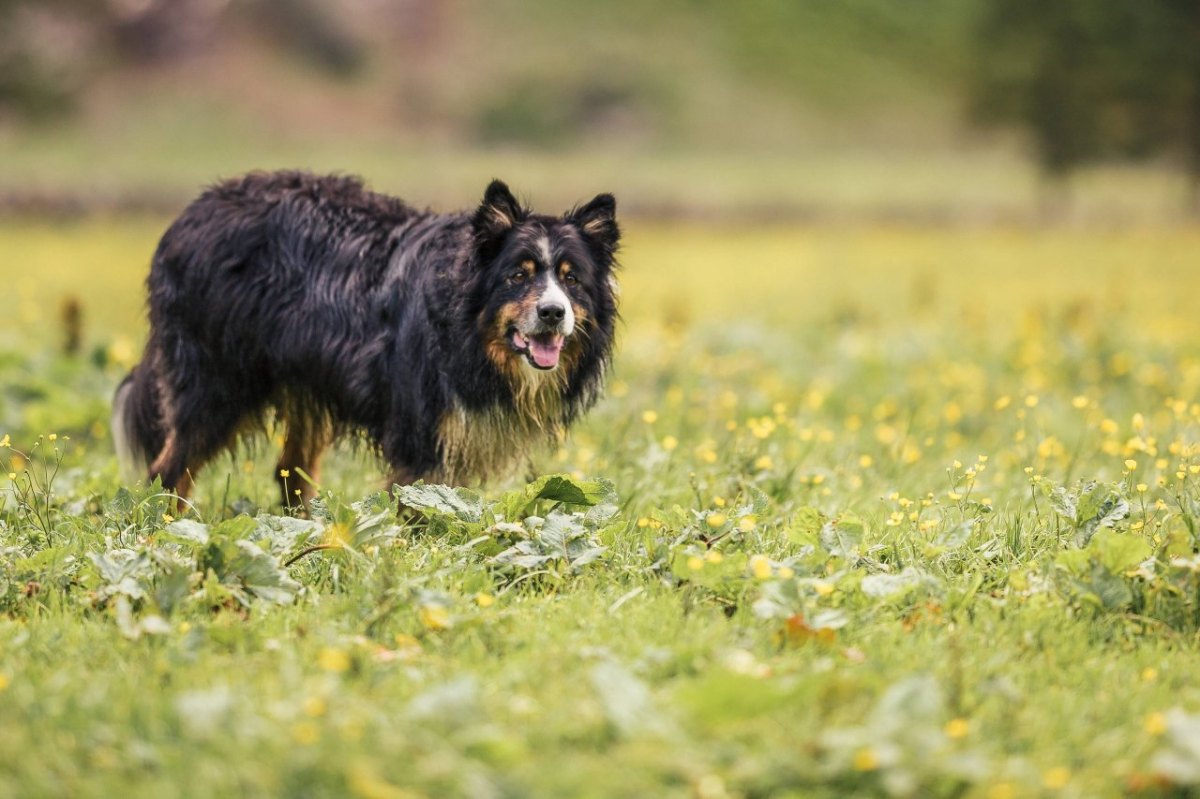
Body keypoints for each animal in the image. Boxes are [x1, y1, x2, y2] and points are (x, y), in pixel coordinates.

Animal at [113, 170, 624, 501]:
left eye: (572, 279)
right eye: (518, 275)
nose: (553, 313)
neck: (467, 338)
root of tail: (192, 213)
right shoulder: (421, 432)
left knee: (290, 475)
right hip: (218, 379)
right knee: (169, 468)